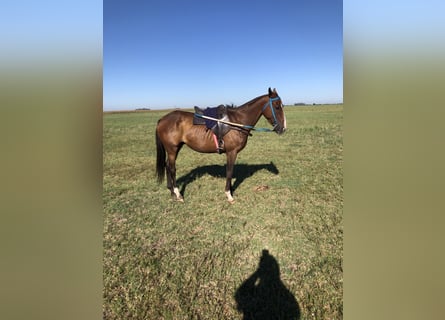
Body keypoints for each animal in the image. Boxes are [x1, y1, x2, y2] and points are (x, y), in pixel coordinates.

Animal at [154, 87, 286, 202]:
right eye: (277, 106)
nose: (283, 128)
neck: (237, 122)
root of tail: (162, 120)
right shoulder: (231, 152)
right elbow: (229, 171)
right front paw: (229, 194)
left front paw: (231, 190)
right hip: (172, 149)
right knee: (172, 168)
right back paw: (178, 194)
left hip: (175, 148)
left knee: (167, 165)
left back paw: (171, 191)